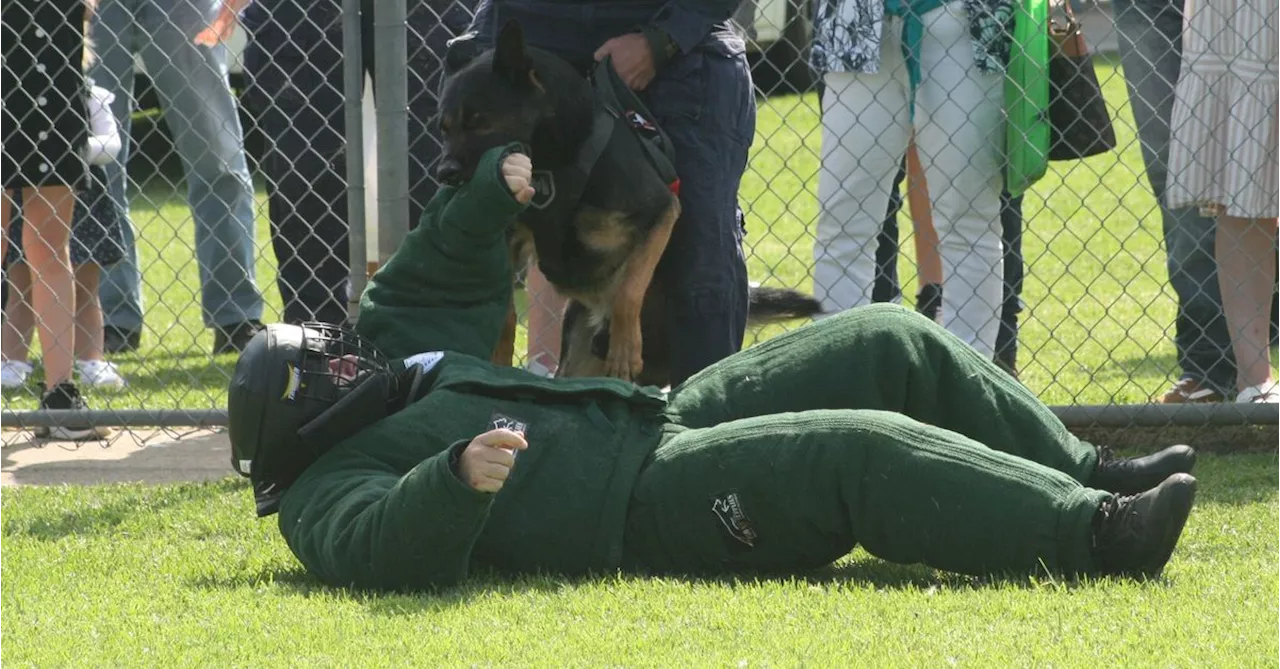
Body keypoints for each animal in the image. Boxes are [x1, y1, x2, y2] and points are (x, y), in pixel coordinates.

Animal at [437, 19, 819, 386]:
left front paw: (624, 346)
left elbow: (629, 288)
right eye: (444, 128)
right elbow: (505, 309)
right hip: (578, 361)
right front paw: (496, 357)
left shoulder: (661, 212)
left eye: (478, 121)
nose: (444, 173)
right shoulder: (510, 236)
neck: (555, 158)